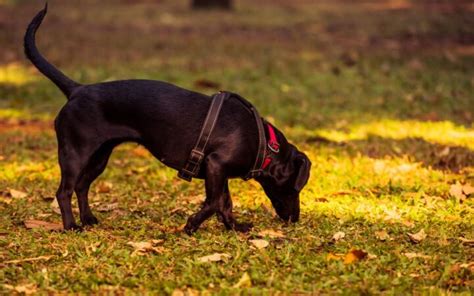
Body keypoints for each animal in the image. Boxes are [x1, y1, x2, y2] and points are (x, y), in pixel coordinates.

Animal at [24, 5, 312, 234]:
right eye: (295, 188)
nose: (295, 219)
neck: (263, 142)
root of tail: (77, 89)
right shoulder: (216, 165)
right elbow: (215, 203)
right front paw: (192, 224)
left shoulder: (218, 172)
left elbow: (224, 204)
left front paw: (234, 227)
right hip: (75, 154)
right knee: (64, 191)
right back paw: (71, 226)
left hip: (99, 157)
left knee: (82, 187)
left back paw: (88, 219)